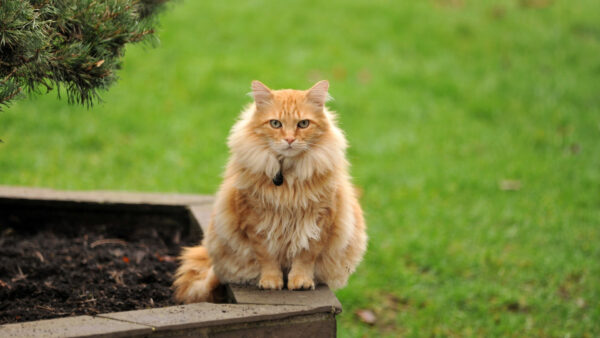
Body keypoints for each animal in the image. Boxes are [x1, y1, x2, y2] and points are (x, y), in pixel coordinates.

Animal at [173, 80, 368, 304]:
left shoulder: (319, 222)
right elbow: (266, 257)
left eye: (303, 124)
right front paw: (271, 281)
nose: (290, 139)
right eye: (275, 124)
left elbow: (305, 256)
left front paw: (300, 281)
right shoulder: (255, 222)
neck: (287, 180)